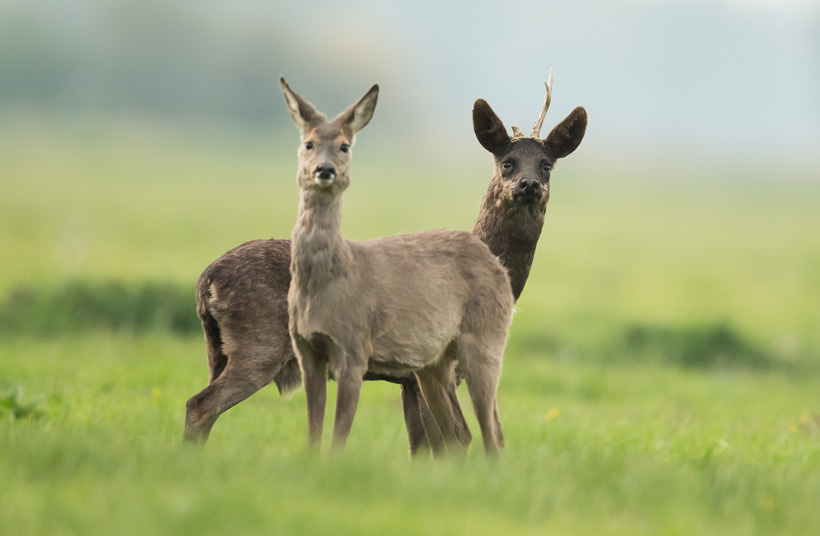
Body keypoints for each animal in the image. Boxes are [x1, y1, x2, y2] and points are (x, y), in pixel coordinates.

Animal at [284, 80, 512, 456]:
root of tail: (499, 267)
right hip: (434, 363)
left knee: (493, 433)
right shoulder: (306, 352)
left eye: (345, 145)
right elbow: (313, 435)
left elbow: (338, 438)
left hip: (487, 339)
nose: (325, 170)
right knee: (460, 433)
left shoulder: (354, 347)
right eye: (308, 143)